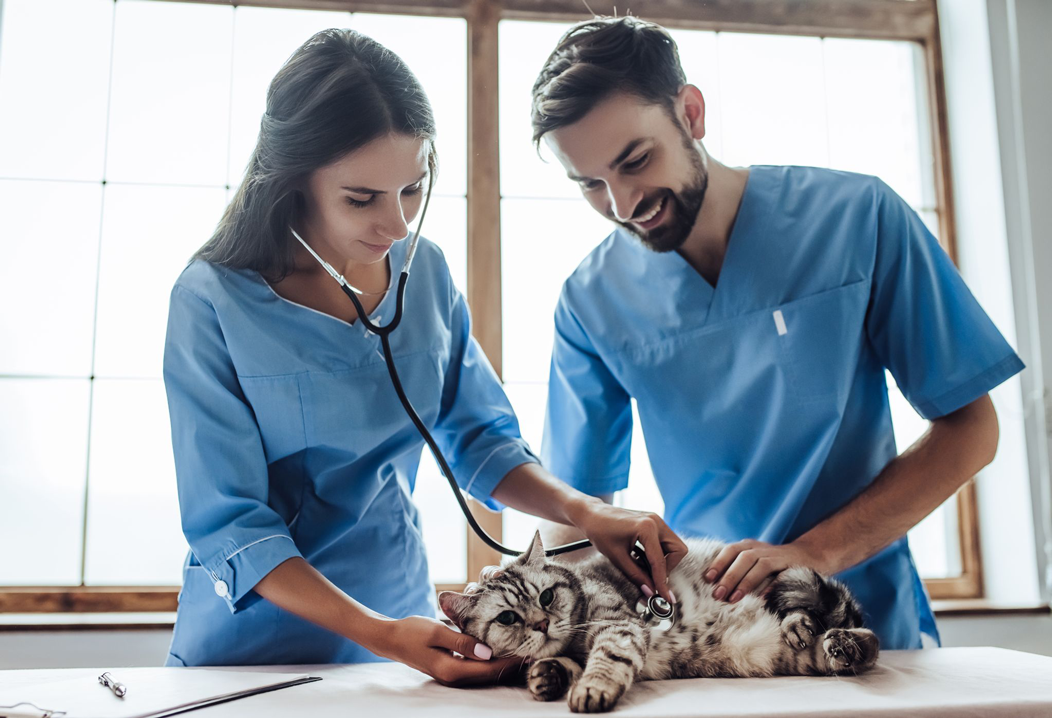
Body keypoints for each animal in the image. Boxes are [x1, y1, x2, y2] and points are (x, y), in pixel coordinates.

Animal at [439, 534, 883, 714]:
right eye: (508, 617)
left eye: (546, 597)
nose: (542, 624)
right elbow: (560, 666)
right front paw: (545, 676)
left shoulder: (619, 628)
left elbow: (605, 662)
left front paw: (592, 691)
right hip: (770, 655)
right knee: (862, 645)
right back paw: (840, 646)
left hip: (787, 593)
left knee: (847, 621)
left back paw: (806, 625)